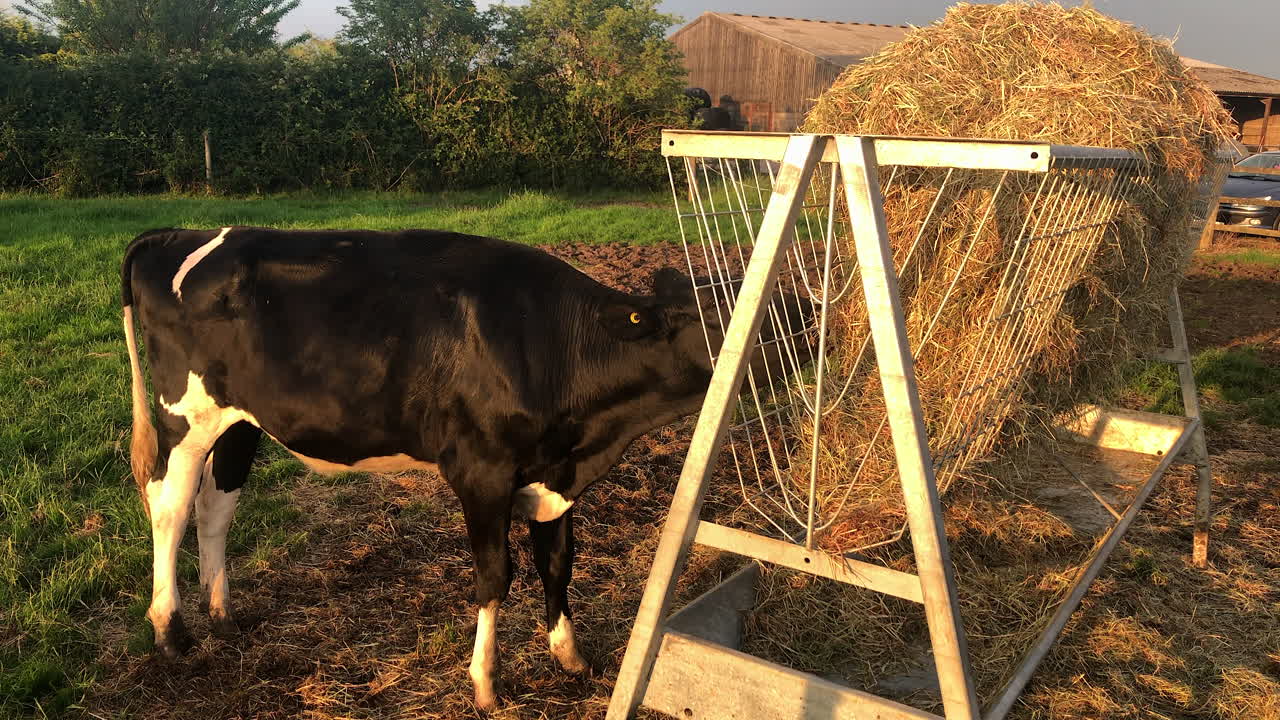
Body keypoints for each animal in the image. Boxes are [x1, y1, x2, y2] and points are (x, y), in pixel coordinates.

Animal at [120, 226, 811, 709]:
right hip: (185, 416)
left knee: (216, 506)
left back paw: (222, 613)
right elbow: (495, 575)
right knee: (170, 508)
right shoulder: (481, 471)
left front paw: (571, 656)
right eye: (721, 318)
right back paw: (170, 630)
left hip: (239, 421)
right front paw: (485, 682)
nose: (803, 334)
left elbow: (557, 562)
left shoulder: (554, 474)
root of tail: (177, 234)